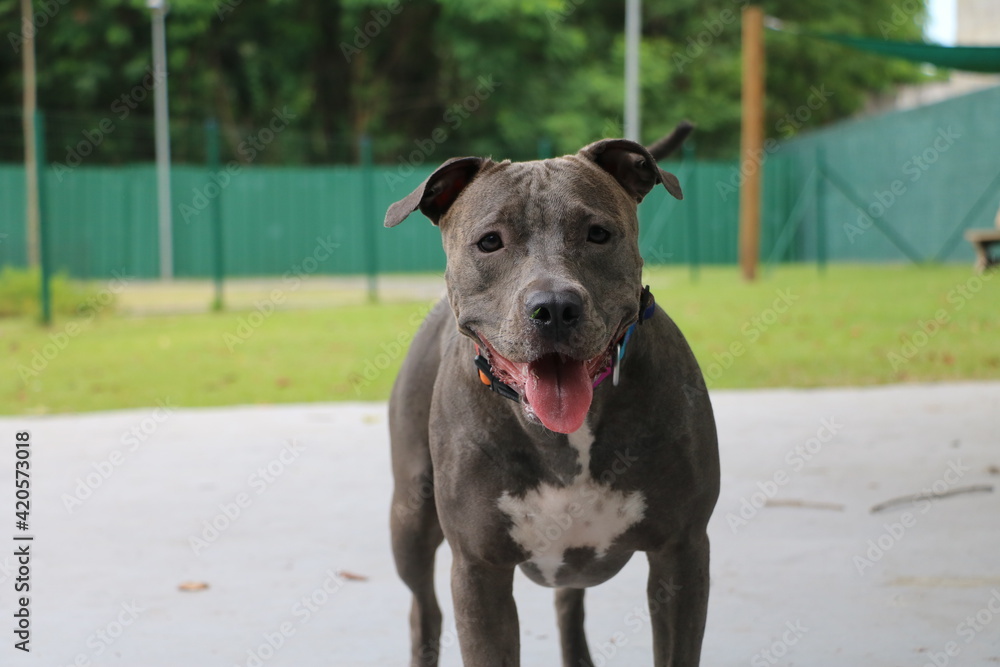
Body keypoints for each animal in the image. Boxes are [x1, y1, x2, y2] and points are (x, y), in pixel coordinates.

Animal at [382, 122, 720, 664]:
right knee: (423, 610)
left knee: (568, 602)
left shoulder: (682, 554)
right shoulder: (479, 571)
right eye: (490, 242)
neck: (566, 434)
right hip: (410, 517)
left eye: (598, 233)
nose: (555, 306)